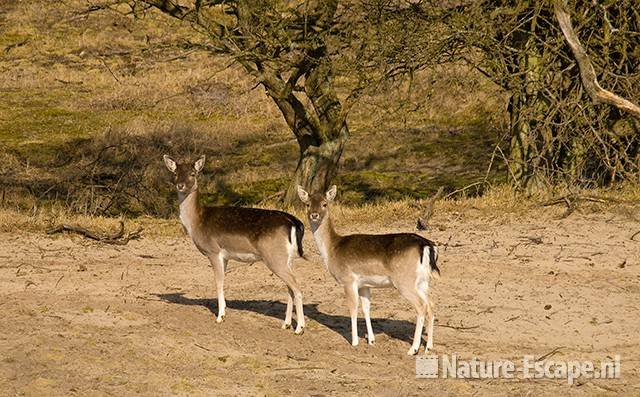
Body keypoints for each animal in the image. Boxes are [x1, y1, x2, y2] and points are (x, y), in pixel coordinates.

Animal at [164, 155, 306, 334]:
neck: (197, 222)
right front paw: (224, 311)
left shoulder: (213, 251)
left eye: (193, 173)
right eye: (175, 173)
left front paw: (220, 317)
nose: (180, 185)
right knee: (290, 288)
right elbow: (223, 281)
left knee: (297, 288)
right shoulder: (225, 257)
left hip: (275, 257)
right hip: (288, 259)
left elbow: (218, 282)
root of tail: (293, 222)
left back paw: (299, 328)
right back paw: (286, 324)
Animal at [296, 184, 440, 354]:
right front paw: (371, 340)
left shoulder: (348, 279)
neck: (332, 250)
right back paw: (429, 346)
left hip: (405, 281)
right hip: (423, 281)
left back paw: (413, 349)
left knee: (421, 306)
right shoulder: (364, 284)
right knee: (431, 304)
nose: (314, 215)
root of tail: (426, 245)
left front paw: (354, 342)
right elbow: (366, 308)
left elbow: (353, 308)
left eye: (325, 203)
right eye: (307, 204)